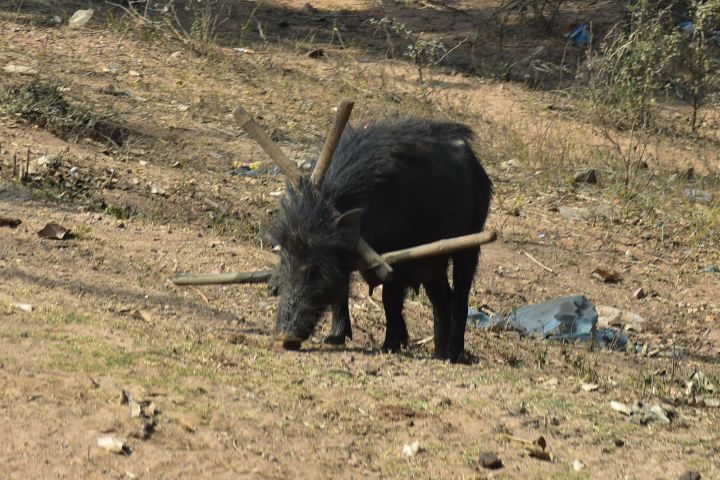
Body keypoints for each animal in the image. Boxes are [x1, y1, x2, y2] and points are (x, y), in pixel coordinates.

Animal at [269, 118, 492, 362]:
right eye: (284, 262)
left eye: (315, 270)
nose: (284, 337)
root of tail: (479, 167)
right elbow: (341, 292)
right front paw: (334, 339)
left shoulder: (401, 259)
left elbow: (389, 298)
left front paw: (389, 347)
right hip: (435, 261)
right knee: (441, 298)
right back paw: (440, 353)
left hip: (471, 242)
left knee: (461, 296)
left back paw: (453, 354)